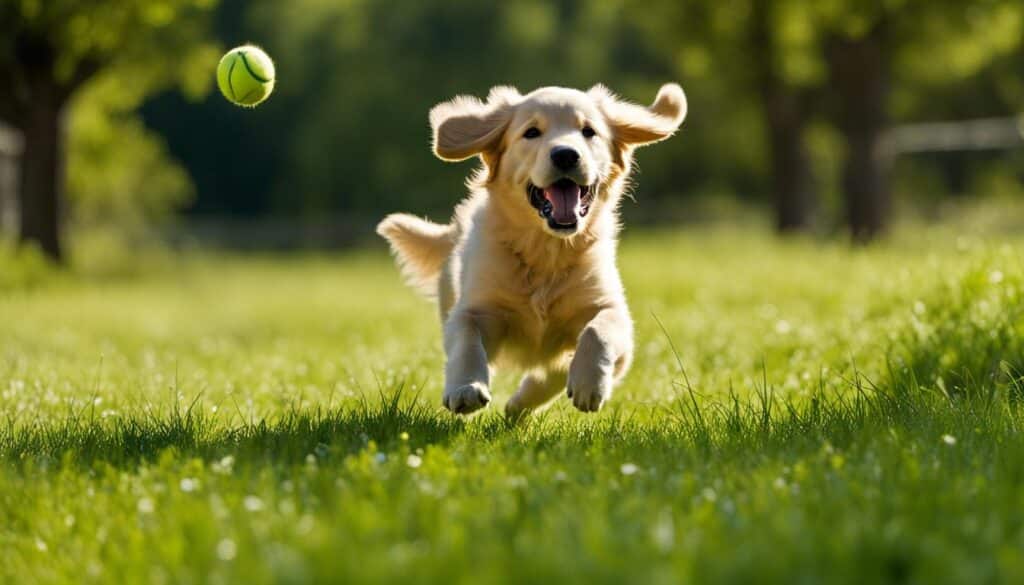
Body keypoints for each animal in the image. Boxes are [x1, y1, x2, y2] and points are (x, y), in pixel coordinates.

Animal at [378, 84, 688, 418]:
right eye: (531, 132)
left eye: (588, 131)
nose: (566, 154)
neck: (545, 249)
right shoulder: (474, 309)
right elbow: (466, 340)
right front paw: (465, 388)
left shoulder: (610, 312)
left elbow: (596, 334)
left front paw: (583, 386)